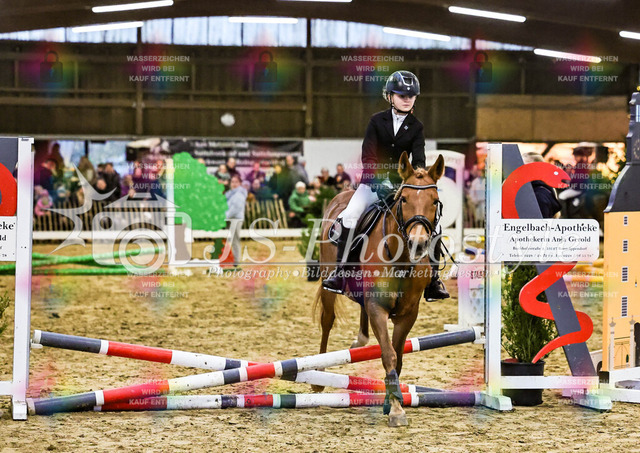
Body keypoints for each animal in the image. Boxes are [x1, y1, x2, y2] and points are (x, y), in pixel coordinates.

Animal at [313, 152, 445, 427]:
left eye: (434, 201)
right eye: (404, 199)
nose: (418, 244)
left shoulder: (408, 313)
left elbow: (398, 356)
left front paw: (392, 400)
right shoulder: (378, 308)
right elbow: (388, 354)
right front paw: (395, 409)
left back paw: (360, 340)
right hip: (328, 283)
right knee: (327, 321)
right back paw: (318, 375)